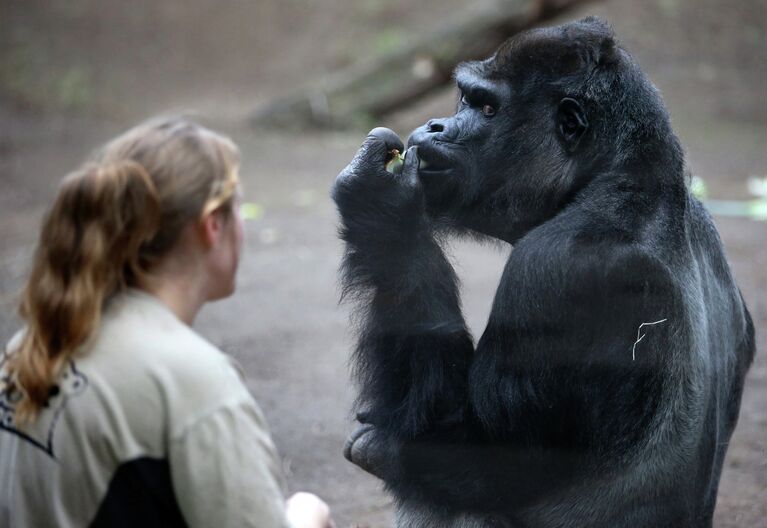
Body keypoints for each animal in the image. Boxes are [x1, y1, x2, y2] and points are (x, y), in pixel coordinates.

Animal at [332, 16, 756, 528]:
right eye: (464, 99)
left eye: (487, 107)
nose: (436, 124)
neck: (623, 175)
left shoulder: (558, 269)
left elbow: (473, 455)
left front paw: (385, 211)